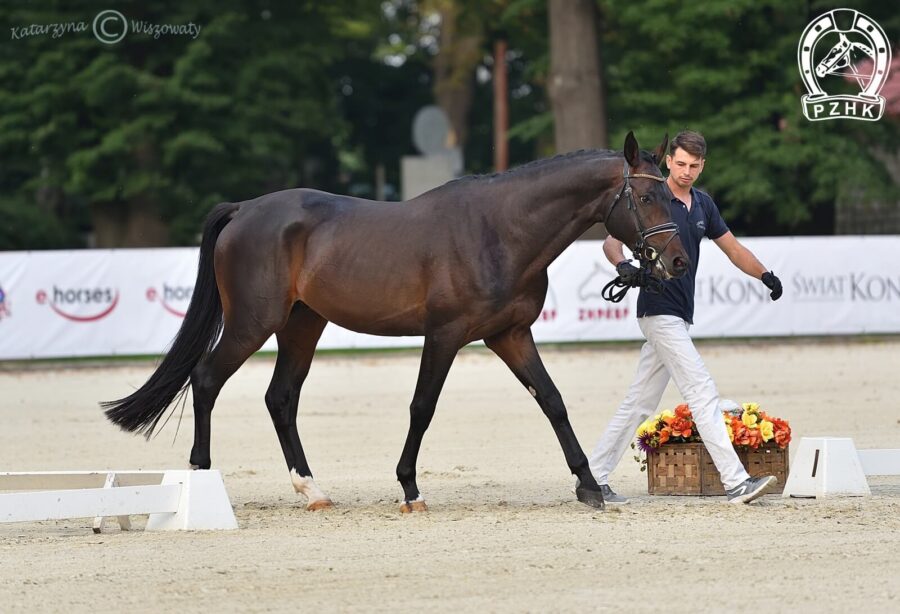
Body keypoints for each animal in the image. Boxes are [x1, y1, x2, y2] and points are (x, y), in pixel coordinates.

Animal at [103, 134, 688, 516]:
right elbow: (422, 407)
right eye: (646, 195)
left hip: (302, 325)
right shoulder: (446, 336)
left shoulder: (509, 335)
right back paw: (202, 477)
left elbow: (552, 401)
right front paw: (410, 489)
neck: (499, 230)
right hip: (254, 322)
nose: (678, 262)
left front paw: (589, 486)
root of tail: (245, 209)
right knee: (206, 379)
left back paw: (312, 491)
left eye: (671, 192)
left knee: (280, 398)